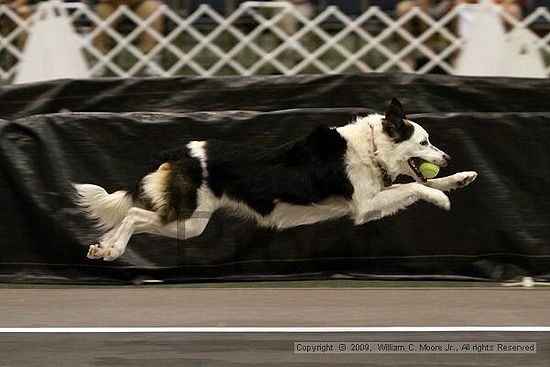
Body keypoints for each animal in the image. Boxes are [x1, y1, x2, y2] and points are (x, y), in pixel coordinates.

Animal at [74, 98, 478, 262]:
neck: (373, 146)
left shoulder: (376, 196)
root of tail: (178, 151)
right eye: (424, 142)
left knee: (132, 217)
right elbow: (415, 185)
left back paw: (102, 248)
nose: (447, 157)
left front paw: (460, 179)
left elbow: (424, 183)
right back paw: (113, 249)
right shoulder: (365, 206)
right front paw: (442, 199)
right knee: (135, 216)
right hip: (190, 220)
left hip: (187, 219)